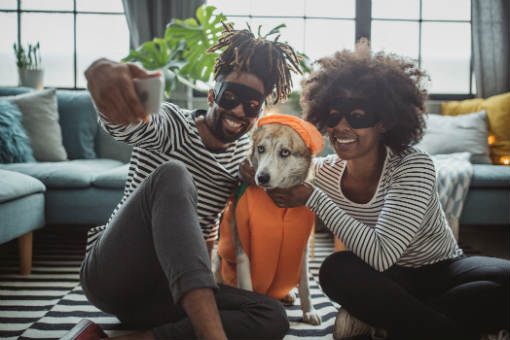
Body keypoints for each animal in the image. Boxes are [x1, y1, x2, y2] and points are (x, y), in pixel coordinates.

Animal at [213, 115, 320, 326]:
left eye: (285, 152)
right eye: (261, 148)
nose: (262, 177)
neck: (277, 206)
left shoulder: (302, 248)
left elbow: (305, 284)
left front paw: (309, 311)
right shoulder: (242, 248)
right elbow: (247, 285)